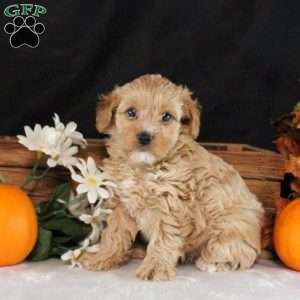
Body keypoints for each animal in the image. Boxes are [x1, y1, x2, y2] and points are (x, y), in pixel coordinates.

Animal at [78, 74, 264, 280]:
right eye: (131, 112)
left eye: (166, 116)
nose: (145, 137)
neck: (144, 168)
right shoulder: (121, 204)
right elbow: (114, 234)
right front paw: (102, 258)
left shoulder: (170, 205)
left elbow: (163, 237)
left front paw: (155, 267)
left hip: (230, 230)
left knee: (240, 253)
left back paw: (212, 263)